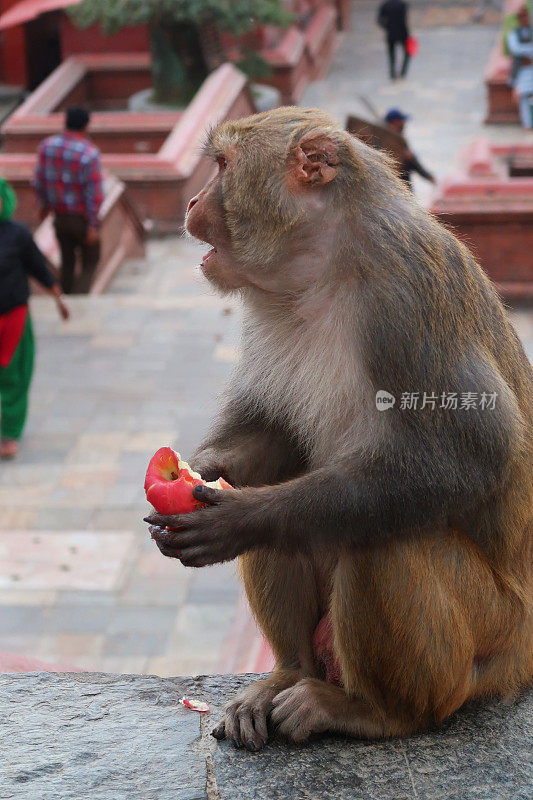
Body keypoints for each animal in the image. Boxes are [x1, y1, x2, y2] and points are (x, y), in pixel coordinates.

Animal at [145, 106, 532, 752]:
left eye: (223, 165)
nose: (195, 199)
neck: (325, 266)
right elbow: (273, 430)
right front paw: (205, 470)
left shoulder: (405, 297)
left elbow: (475, 454)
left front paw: (244, 516)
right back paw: (287, 676)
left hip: (492, 635)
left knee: (385, 538)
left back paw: (377, 713)